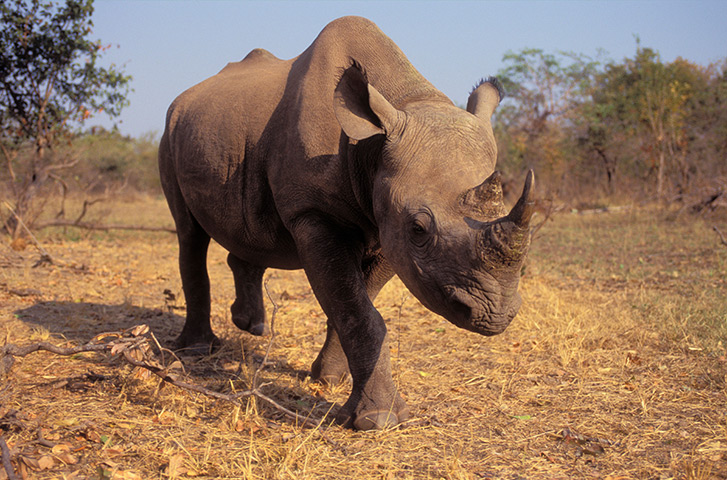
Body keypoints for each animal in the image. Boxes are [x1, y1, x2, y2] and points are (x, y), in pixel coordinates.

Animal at [158, 16, 534, 430]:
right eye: (419, 229)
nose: (493, 315)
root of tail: (183, 98)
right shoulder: (315, 213)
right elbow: (359, 313)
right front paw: (379, 420)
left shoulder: (386, 227)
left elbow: (354, 304)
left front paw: (329, 378)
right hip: (169, 131)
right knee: (189, 234)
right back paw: (197, 348)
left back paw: (251, 326)